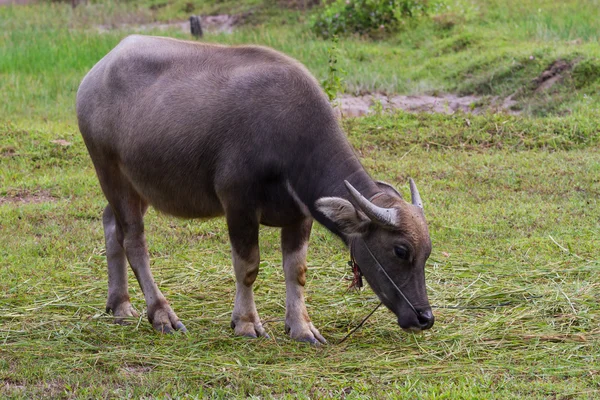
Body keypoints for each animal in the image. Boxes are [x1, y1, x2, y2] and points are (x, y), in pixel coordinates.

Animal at [77, 35, 434, 344]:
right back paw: (162, 315)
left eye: (427, 252)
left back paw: (120, 306)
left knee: (111, 225)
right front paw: (246, 323)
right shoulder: (238, 204)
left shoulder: (300, 215)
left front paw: (302, 328)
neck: (290, 140)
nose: (424, 318)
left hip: (138, 184)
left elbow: (296, 270)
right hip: (108, 170)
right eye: (400, 250)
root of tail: (96, 73)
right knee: (134, 241)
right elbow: (248, 267)